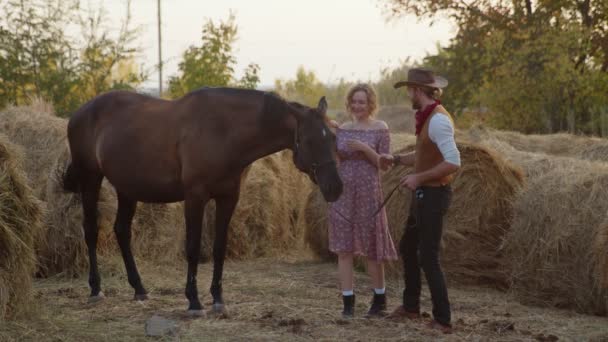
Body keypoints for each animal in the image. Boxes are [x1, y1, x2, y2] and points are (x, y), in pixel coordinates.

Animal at [64, 87, 344, 316]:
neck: (223, 130)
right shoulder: (195, 197)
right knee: (91, 230)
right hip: (91, 178)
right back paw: (96, 289)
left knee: (122, 231)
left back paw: (139, 288)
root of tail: (78, 114)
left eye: (332, 137)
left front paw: (218, 299)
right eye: (308, 140)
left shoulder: (228, 198)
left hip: (127, 189)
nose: (336, 188)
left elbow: (219, 247)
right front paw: (194, 302)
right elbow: (193, 248)